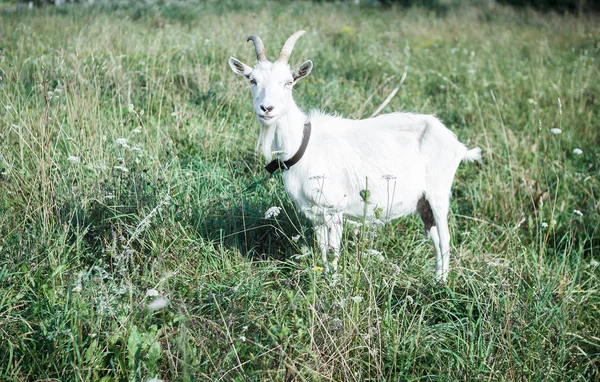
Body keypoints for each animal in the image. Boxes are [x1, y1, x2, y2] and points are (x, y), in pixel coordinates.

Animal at [227, 30, 480, 280]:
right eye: (252, 80)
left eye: (288, 82)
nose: (267, 109)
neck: (303, 144)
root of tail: (456, 144)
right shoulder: (316, 213)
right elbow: (323, 249)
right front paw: (324, 276)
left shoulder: (335, 208)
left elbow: (333, 249)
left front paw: (334, 281)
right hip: (423, 201)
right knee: (435, 236)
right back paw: (437, 277)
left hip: (439, 192)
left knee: (445, 237)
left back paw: (442, 282)